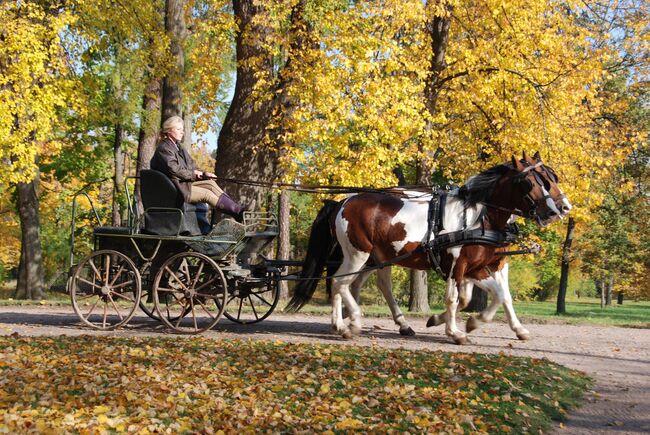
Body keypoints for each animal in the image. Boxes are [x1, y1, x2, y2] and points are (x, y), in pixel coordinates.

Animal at [286, 152, 568, 344]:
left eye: (551, 178)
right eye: (532, 181)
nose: (562, 208)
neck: (479, 216)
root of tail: (342, 201)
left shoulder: (483, 266)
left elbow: (499, 295)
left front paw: (474, 323)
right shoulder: (457, 265)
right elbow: (456, 298)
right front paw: (455, 331)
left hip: (375, 257)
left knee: (357, 285)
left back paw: (349, 323)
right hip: (358, 254)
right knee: (339, 282)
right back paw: (351, 322)